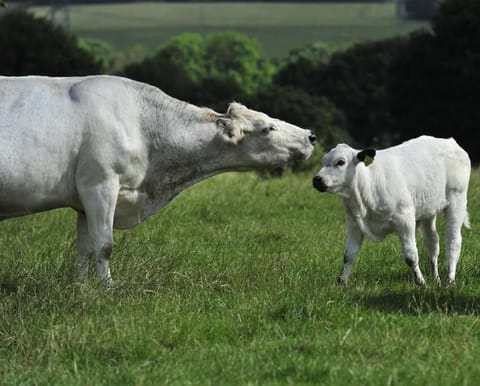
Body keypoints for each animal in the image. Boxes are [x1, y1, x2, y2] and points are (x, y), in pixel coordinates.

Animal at [0, 76, 316, 286]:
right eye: (267, 128)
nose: (311, 135)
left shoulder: (84, 197)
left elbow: (84, 248)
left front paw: (82, 288)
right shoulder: (101, 185)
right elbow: (104, 244)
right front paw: (108, 289)